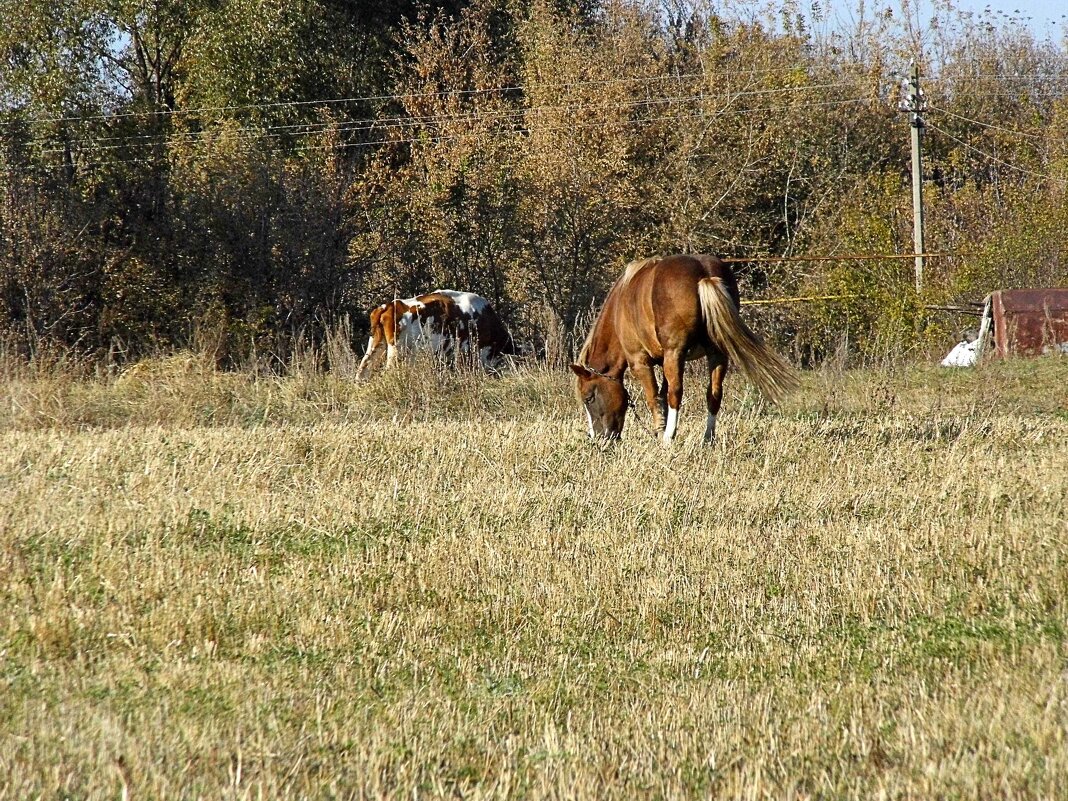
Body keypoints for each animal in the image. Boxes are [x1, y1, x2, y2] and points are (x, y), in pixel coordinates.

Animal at [572, 255, 798, 446]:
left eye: (588, 398)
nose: (597, 438)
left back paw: (668, 437)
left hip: (676, 353)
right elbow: (663, 396)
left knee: (676, 392)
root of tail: (704, 274)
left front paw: (660, 432)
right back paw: (708, 438)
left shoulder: (641, 362)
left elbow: (655, 397)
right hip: (716, 353)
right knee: (714, 393)